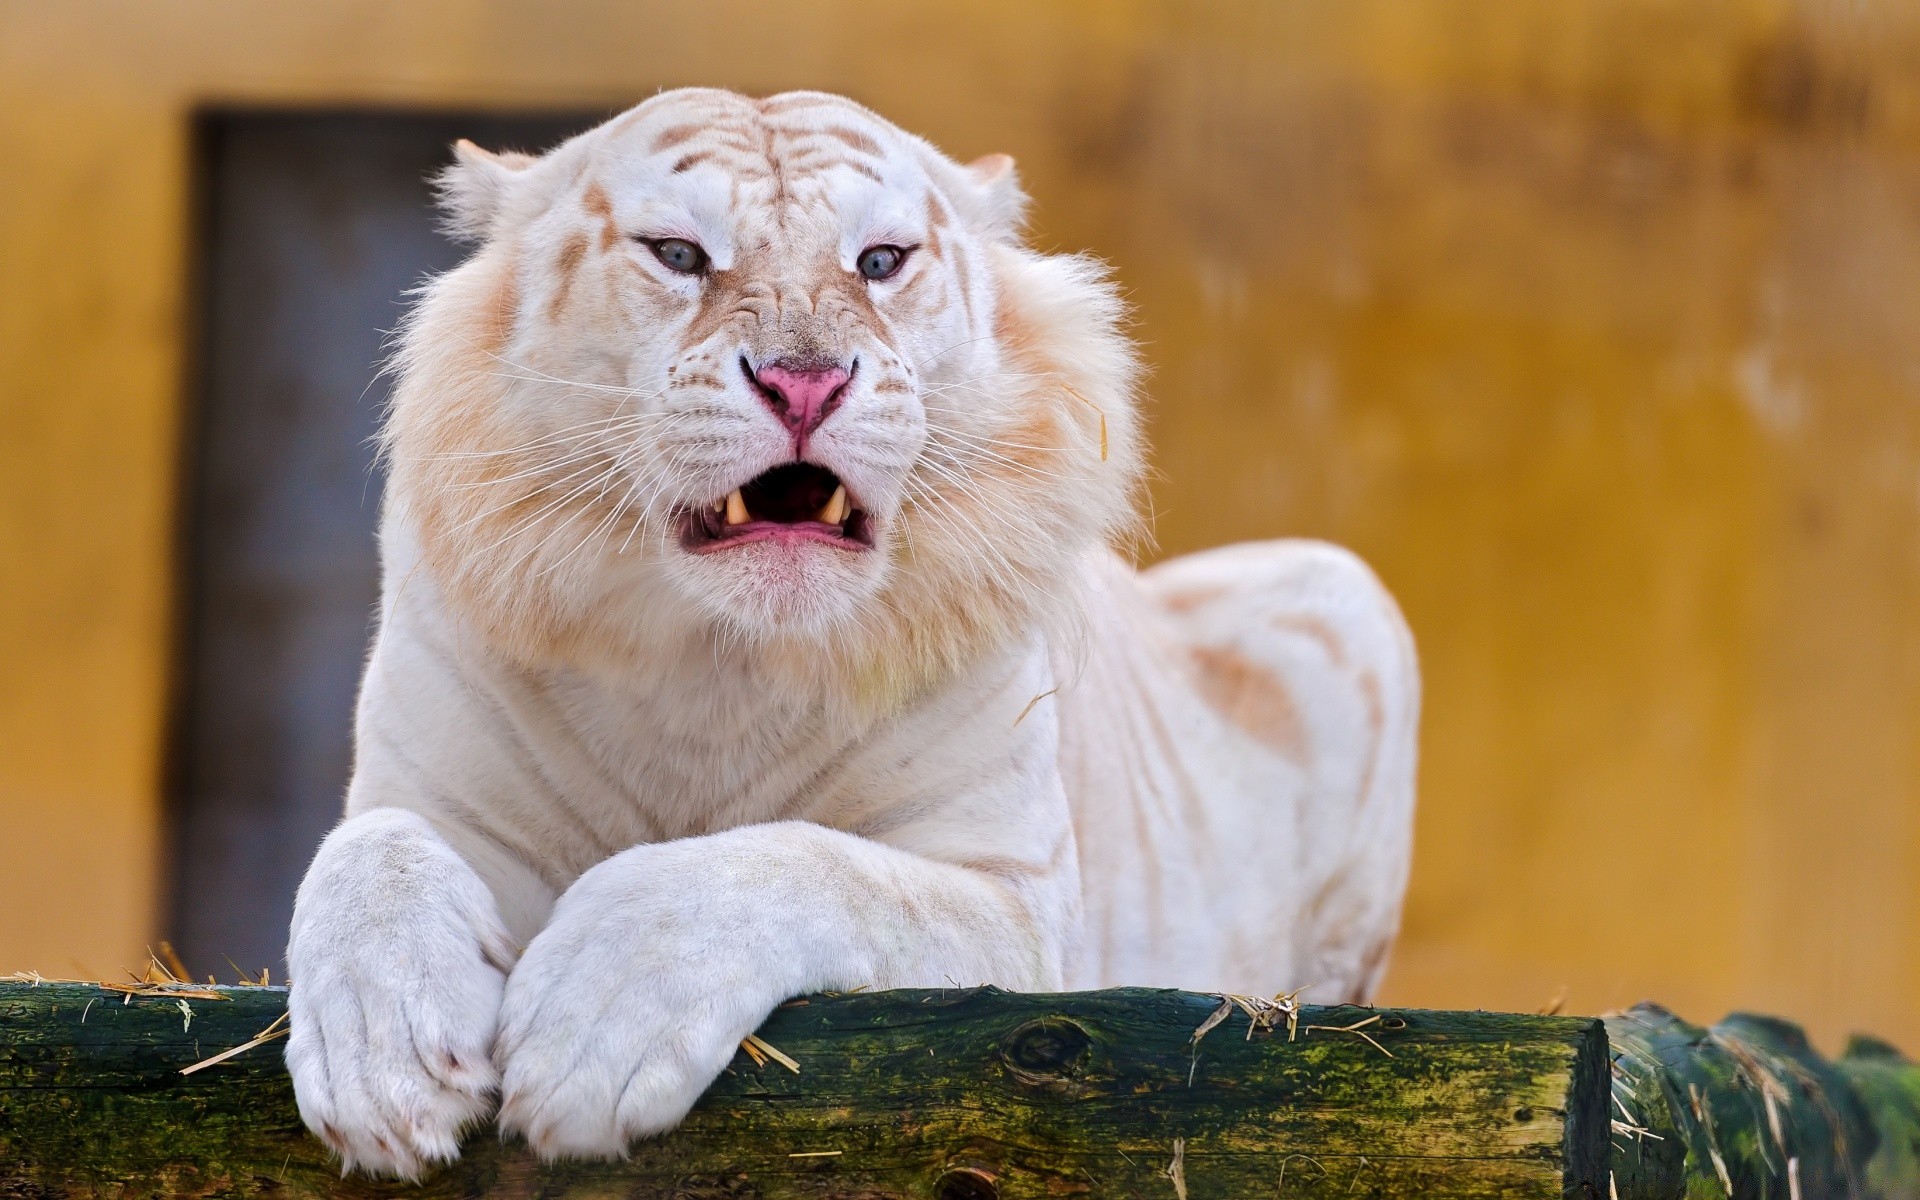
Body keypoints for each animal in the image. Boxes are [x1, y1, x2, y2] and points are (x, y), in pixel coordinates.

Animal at [288, 88, 1428, 1175]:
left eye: (880, 262)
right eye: (677, 253)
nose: (805, 382)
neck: (717, 666)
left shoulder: (1019, 906)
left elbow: (814, 867)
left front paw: (589, 1029)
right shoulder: (434, 794)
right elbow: (367, 851)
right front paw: (381, 1067)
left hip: (1343, 595)